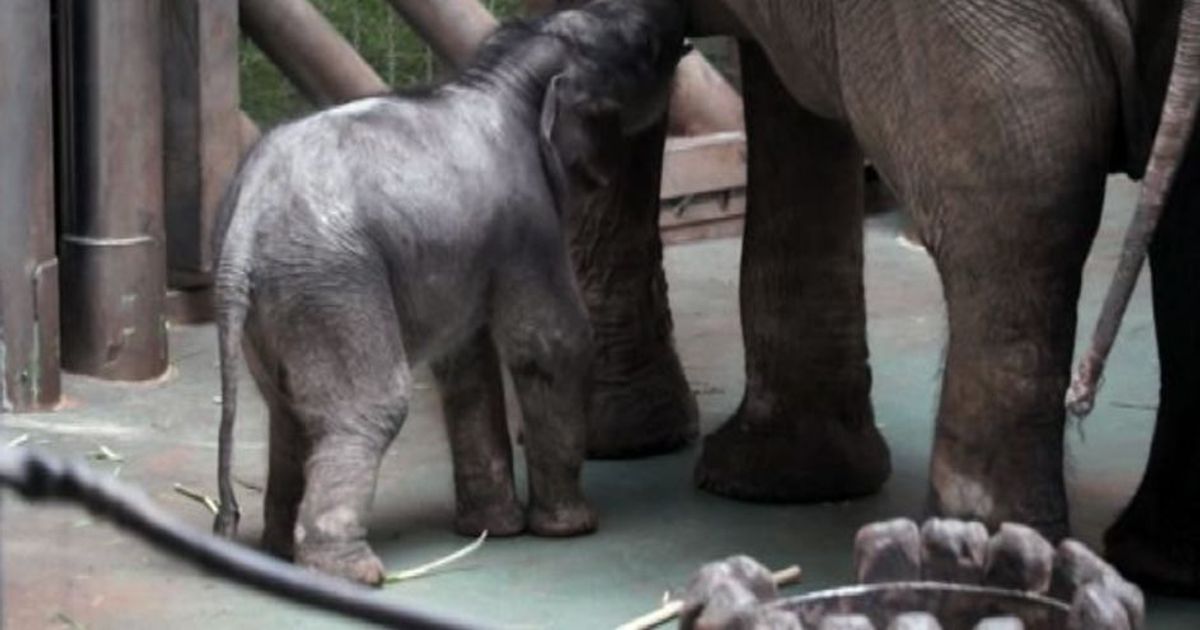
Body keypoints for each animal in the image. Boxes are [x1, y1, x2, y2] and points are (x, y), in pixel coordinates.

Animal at [210, 0, 687, 585]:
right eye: (645, 47)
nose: (675, 23)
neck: (506, 74)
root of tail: (245, 221)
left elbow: (465, 362)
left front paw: (494, 529)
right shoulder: (528, 220)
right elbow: (552, 344)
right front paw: (572, 528)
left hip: (278, 301)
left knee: (289, 414)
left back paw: (281, 554)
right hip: (330, 280)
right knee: (370, 404)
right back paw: (352, 573)